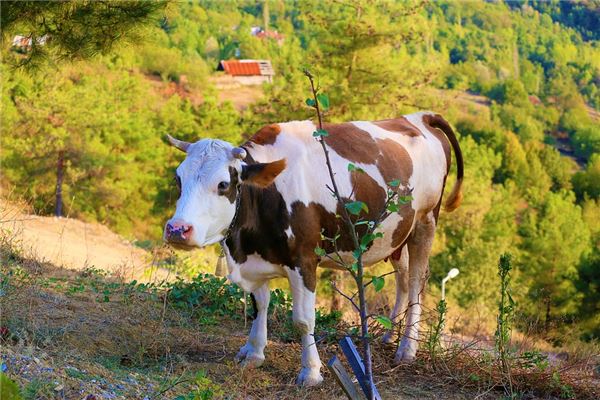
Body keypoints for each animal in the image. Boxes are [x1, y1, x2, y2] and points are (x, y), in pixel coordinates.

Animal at [164, 111, 464, 386]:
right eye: (178, 180)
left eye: (223, 184)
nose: (177, 229)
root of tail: (418, 116)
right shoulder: (257, 257)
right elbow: (260, 304)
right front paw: (254, 352)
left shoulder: (304, 260)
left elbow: (303, 320)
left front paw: (311, 372)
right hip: (395, 234)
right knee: (402, 277)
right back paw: (390, 335)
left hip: (425, 221)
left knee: (415, 281)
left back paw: (407, 348)